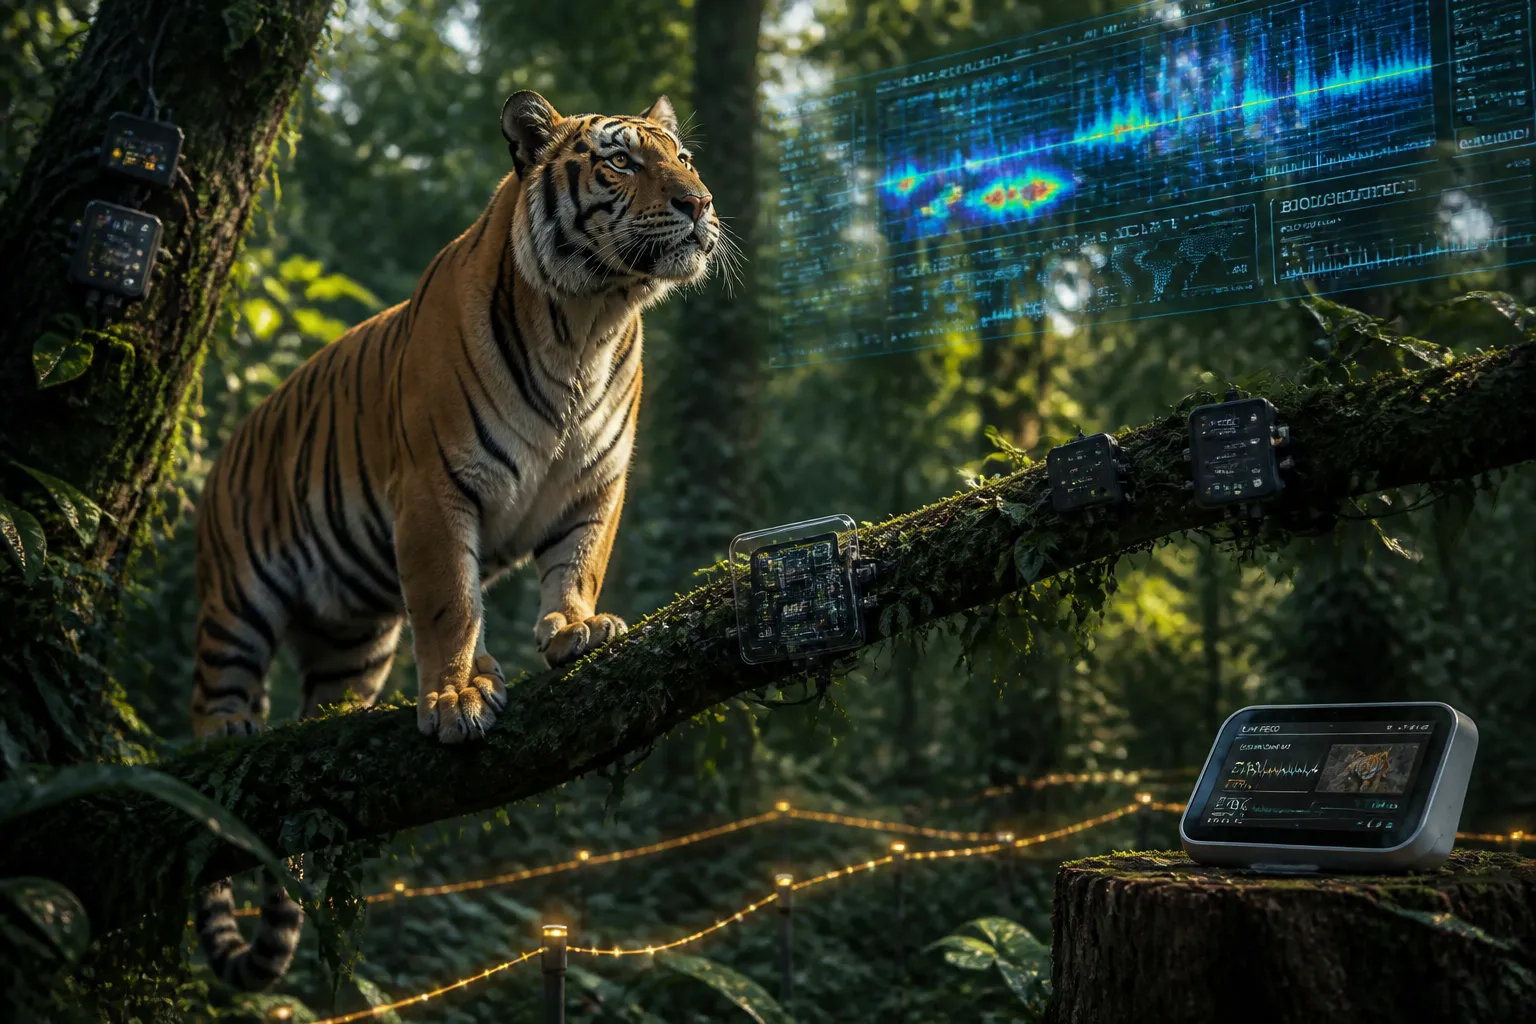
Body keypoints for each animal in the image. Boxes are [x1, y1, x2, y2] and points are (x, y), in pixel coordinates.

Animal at [188, 90, 722, 991]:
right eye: (620, 162)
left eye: (684, 158)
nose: (700, 205)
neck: (591, 319)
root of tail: (230, 442)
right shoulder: (434, 491)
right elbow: (450, 606)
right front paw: (457, 697)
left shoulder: (595, 484)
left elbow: (578, 565)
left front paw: (577, 628)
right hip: (234, 600)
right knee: (212, 697)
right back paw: (227, 735)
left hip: (354, 641)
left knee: (323, 699)